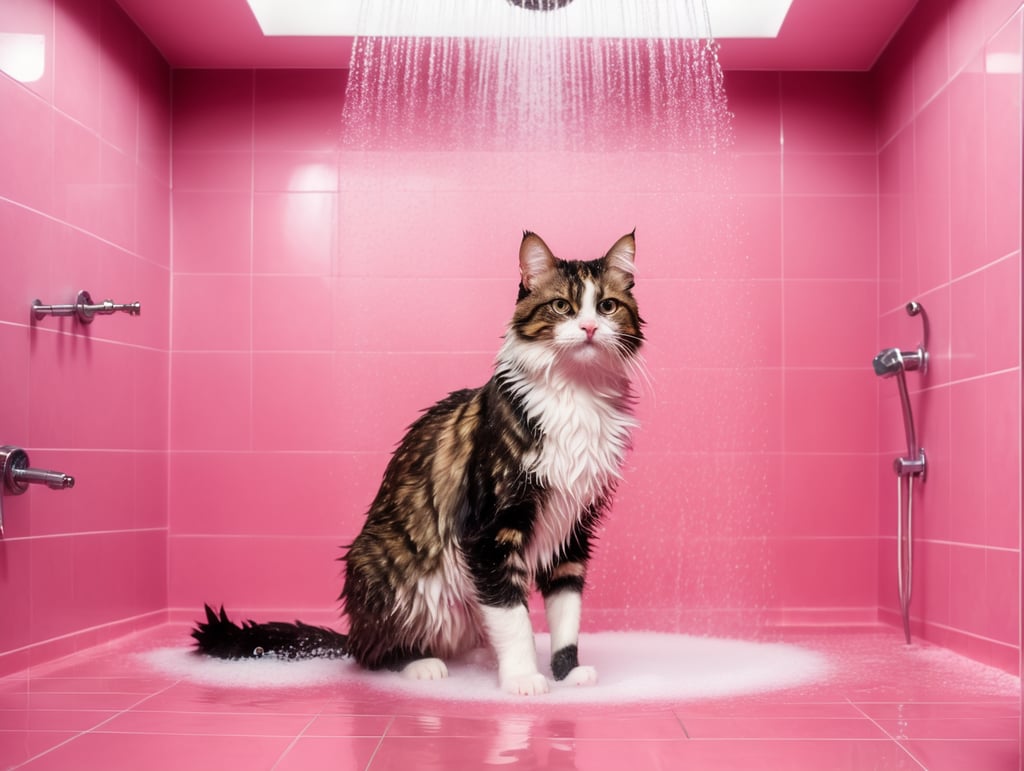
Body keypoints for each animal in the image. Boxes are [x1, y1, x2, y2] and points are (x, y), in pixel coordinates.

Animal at [191, 228, 638, 692]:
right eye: (562, 306)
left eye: (607, 306)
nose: (589, 327)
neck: (577, 396)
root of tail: (354, 631)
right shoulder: (489, 533)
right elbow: (514, 619)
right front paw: (522, 678)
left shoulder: (573, 529)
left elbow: (566, 609)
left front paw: (567, 671)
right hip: (384, 567)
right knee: (372, 655)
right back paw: (420, 663)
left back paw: (479, 659)